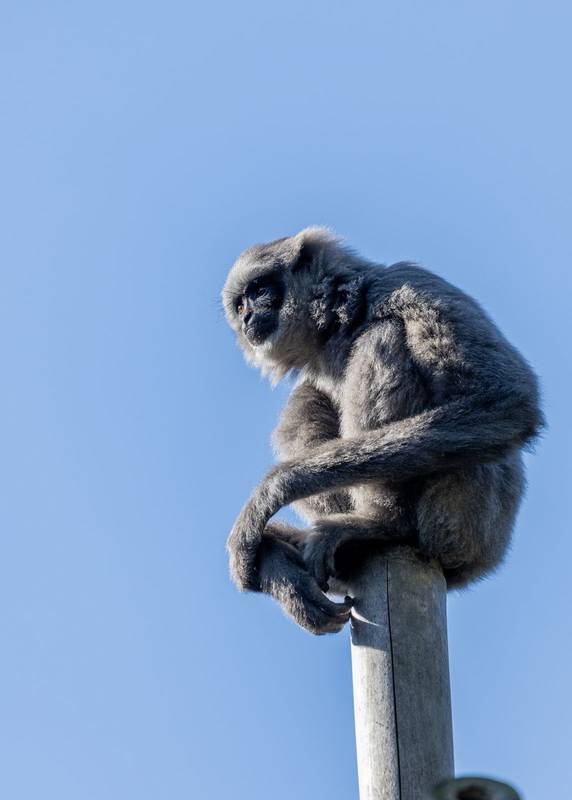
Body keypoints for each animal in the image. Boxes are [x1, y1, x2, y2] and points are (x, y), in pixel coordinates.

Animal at [221, 228, 543, 635]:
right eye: (239, 305)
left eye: (260, 289)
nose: (247, 315)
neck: (346, 314)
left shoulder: (409, 283)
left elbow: (507, 401)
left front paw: (272, 490)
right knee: (304, 403)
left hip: (463, 519)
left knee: (383, 335)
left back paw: (384, 523)